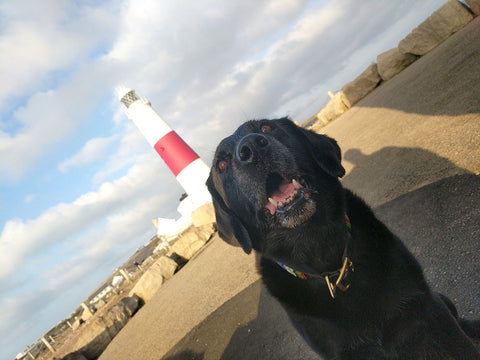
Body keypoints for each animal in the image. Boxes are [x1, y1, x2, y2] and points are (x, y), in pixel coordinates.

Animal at [207, 117, 480, 358]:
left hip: (441, 300)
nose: (252, 147)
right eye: (221, 164)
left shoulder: (426, 312)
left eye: (265, 127)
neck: (326, 256)